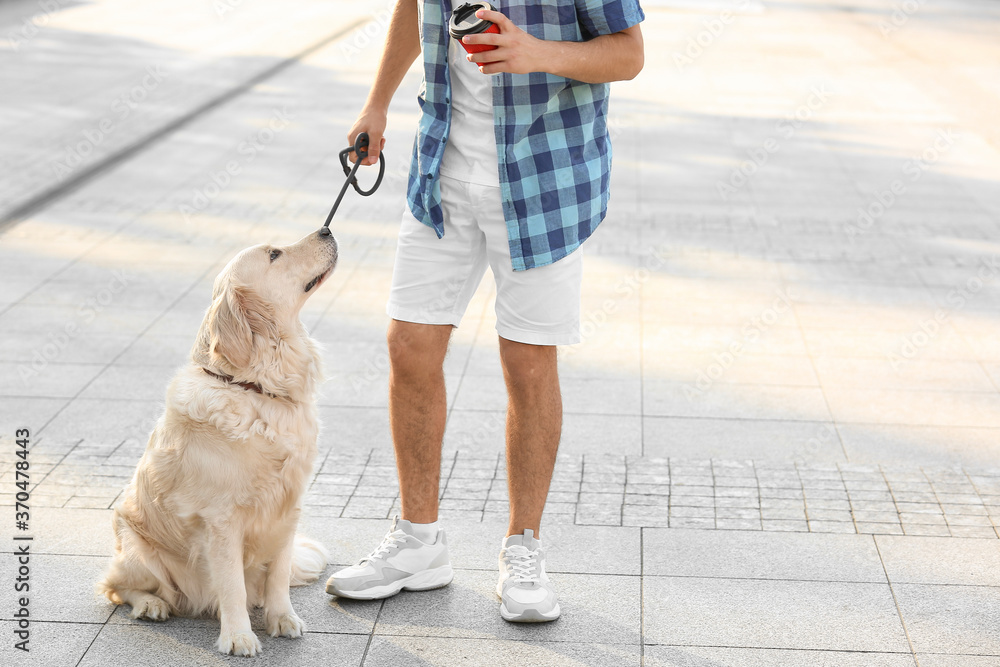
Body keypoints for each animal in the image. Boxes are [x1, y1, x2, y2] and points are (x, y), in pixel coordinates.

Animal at [97, 227, 340, 656]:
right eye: (275, 255)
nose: (326, 229)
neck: (255, 387)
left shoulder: (288, 506)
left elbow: (278, 574)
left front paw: (282, 618)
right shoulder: (222, 519)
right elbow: (230, 585)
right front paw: (239, 637)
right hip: (138, 551)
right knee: (117, 587)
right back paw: (151, 605)